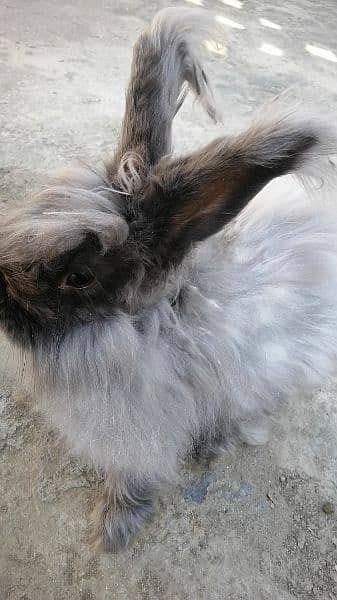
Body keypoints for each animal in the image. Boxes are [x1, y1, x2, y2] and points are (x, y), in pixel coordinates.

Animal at [0, 8, 336, 552]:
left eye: (78, 277)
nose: (2, 306)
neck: (147, 325)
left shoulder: (143, 435)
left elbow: (134, 475)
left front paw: (113, 528)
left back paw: (218, 440)